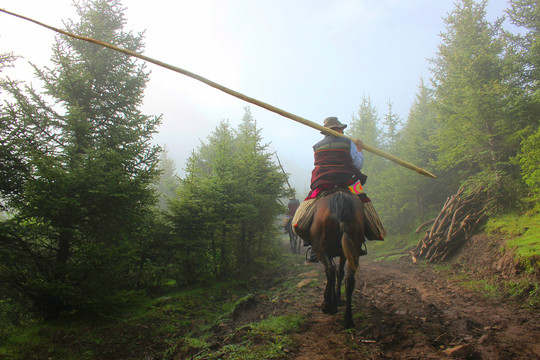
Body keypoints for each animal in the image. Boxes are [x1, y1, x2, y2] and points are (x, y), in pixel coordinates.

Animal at [310, 188, 364, 330]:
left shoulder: (325, 252)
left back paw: (328, 305)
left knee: (330, 270)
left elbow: (332, 272)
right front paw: (338, 299)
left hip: (321, 250)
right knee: (349, 279)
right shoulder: (344, 253)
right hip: (354, 248)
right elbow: (340, 273)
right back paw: (348, 320)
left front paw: (331, 301)